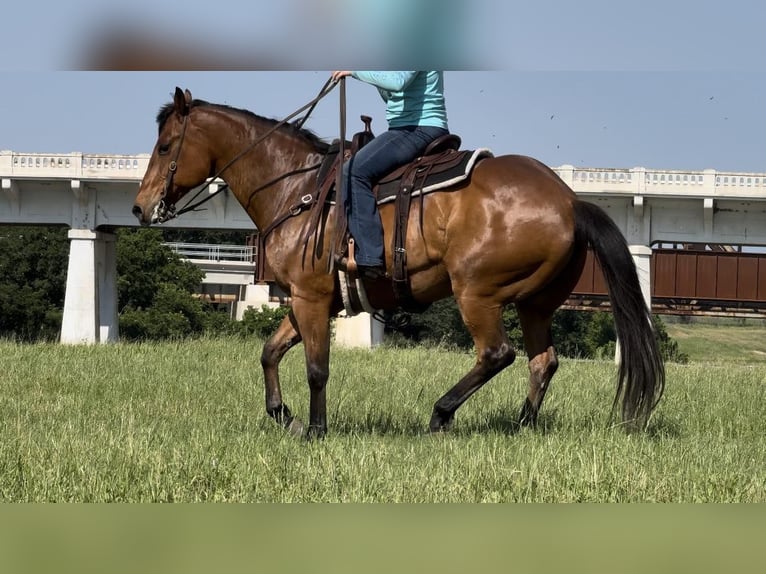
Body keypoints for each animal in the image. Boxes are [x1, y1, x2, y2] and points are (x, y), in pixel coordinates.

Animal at [132, 85, 664, 438]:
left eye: (165, 146)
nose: (139, 207)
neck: (296, 187)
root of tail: (570, 201)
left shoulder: (311, 297)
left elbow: (316, 368)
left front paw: (315, 429)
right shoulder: (307, 300)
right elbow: (270, 351)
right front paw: (283, 415)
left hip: (478, 294)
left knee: (498, 353)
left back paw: (441, 414)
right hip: (535, 304)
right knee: (542, 361)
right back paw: (521, 426)